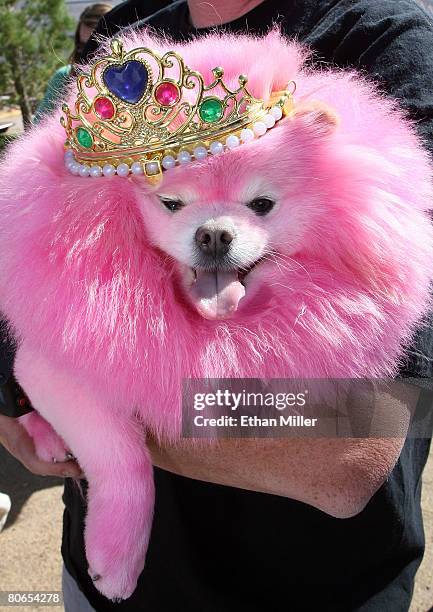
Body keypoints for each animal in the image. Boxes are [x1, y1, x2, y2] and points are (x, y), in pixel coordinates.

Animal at [0, 28, 432, 596]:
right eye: (171, 204)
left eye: (262, 205)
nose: (212, 234)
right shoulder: (53, 369)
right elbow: (122, 455)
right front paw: (116, 557)